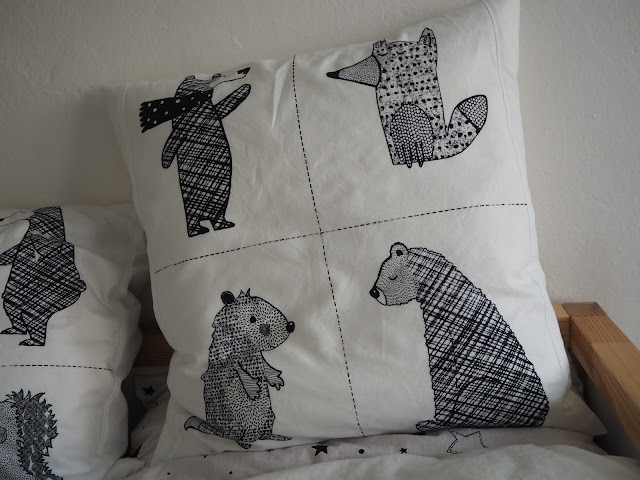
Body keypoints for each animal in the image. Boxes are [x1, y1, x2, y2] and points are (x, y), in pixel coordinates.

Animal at [0, 207, 86, 346]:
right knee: (12, 306)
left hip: (52, 297)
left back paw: (33, 341)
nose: (1, 219)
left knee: (33, 316)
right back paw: (15, 330)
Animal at [140, 68, 251, 237]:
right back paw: (198, 231)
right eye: (216, 75)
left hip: (220, 204)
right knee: (193, 219)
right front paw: (165, 163)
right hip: (192, 209)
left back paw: (223, 225)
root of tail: (205, 217)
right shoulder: (183, 125)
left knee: (218, 217)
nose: (244, 70)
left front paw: (244, 89)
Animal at [184, 290, 295, 449]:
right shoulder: (227, 360)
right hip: (235, 425)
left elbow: (266, 367)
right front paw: (254, 391)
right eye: (252, 318)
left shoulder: (258, 358)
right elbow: (239, 371)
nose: (291, 325)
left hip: (269, 416)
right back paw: (245, 443)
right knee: (236, 437)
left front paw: (276, 380)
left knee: (264, 434)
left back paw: (277, 437)